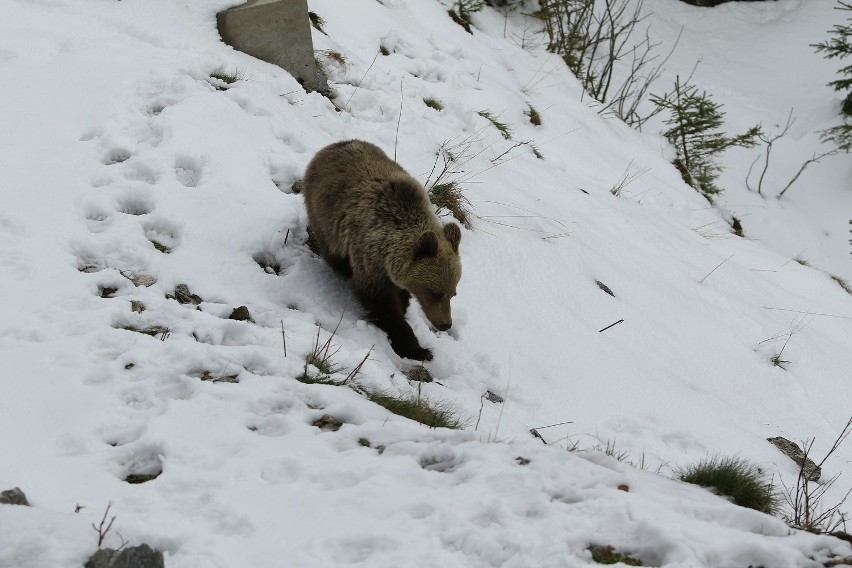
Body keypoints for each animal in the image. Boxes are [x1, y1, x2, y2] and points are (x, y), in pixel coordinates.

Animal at [300, 140, 460, 360]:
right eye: (434, 292)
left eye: (453, 293)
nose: (445, 324)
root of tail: (331, 146)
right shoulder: (369, 257)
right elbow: (380, 303)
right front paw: (417, 349)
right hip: (323, 215)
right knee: (333, 254)